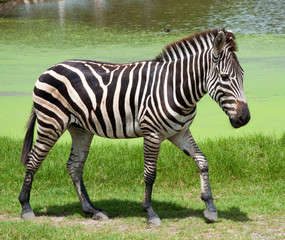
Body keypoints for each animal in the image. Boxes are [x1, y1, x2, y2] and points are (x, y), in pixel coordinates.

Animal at [18, 28, 248, 225]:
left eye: (243, 76)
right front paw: (150, 212)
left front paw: (210, 206)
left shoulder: (179, 132)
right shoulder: (152, 133)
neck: (175, 87)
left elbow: (202, 161)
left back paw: (91, 210)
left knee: (74, 166)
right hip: (51, 123)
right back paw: (26, 207)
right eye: (225, 77)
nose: (244, 118)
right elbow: (150, 173)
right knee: (34, 159)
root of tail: (50, 68)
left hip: (80, 129)